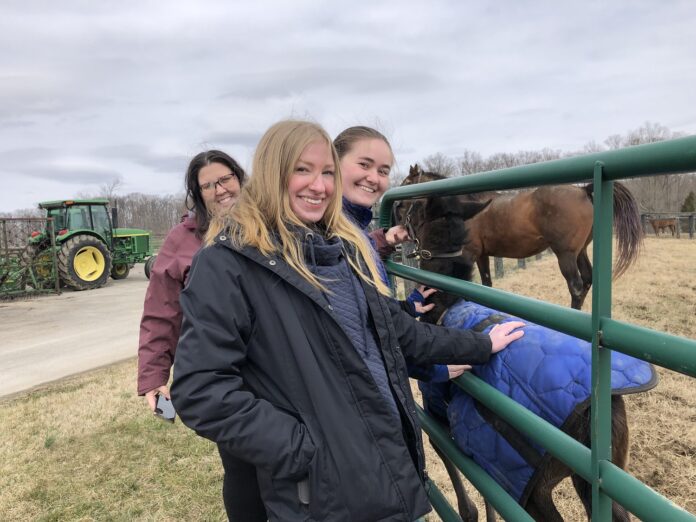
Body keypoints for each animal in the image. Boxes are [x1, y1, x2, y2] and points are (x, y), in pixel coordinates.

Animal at [400, 165, 644, 306]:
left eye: (405, 185)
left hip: (565, 255)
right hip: (580, 252)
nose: (402, 226)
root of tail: (583, 189)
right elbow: (486, 284)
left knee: (576, 286)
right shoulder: (482, 256)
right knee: (586, 281)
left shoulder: (466, 256)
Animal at [402, 193, 656, 516]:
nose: (402, 210)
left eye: (420, 210)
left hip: (537, 485)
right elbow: (489, 494)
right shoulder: (482, 451)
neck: (444, 305)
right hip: (600, 478)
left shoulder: (437, 416)